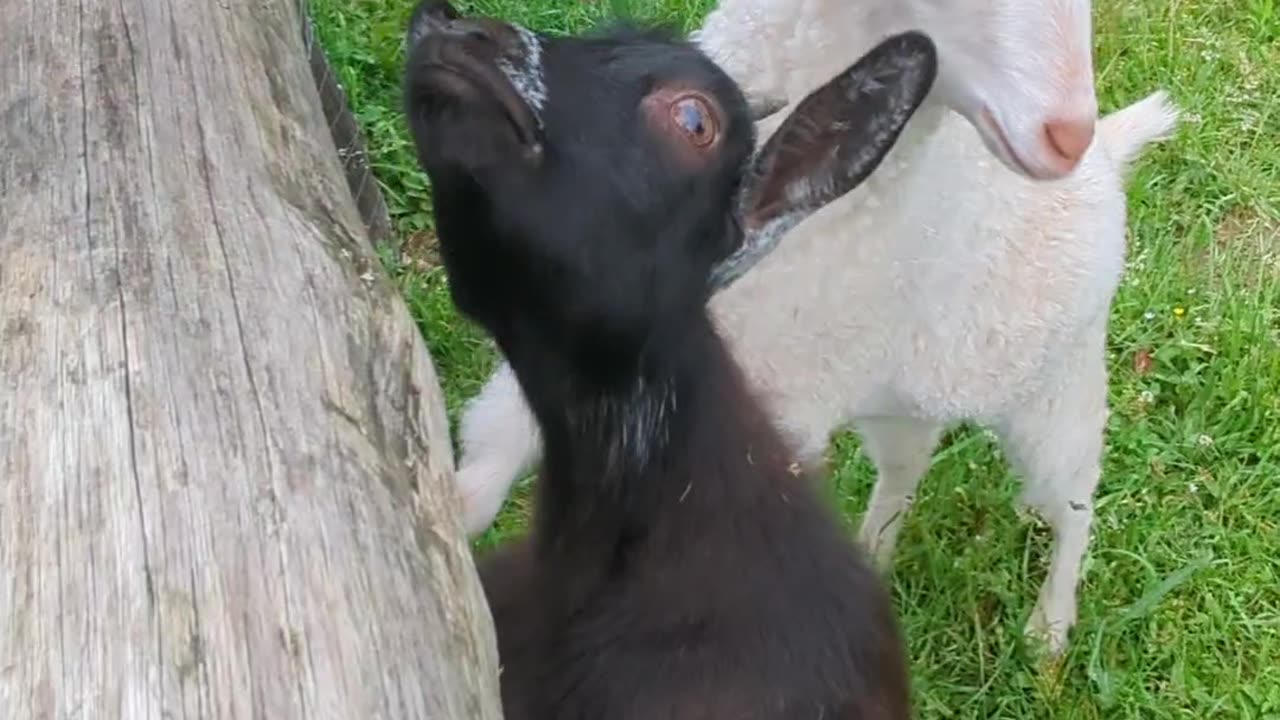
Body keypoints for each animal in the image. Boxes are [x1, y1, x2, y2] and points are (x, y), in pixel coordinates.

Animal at [453, 0, 1177, 653]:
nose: (1064, 132)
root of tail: (1108, 158)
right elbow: (486, 467)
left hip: (1058, 388)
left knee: (1076, 499)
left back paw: (1049, 630)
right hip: (902, 402)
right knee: (908, 468)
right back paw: (876, 556)